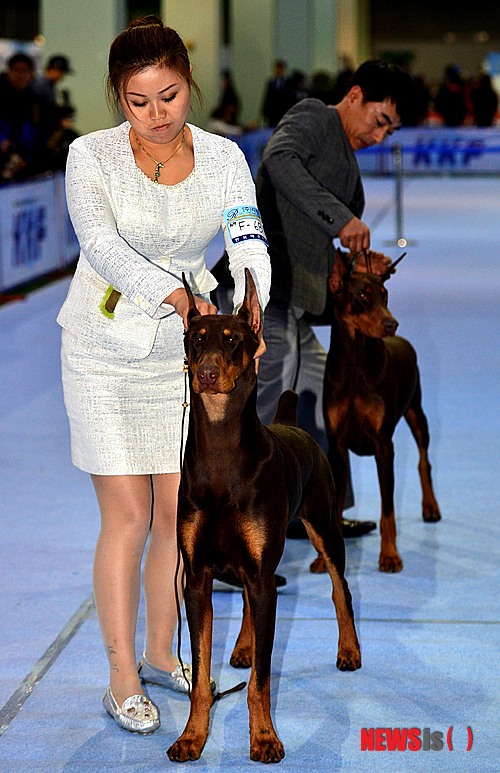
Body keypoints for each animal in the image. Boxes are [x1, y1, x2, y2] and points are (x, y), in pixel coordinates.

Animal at [167, 268, 360, 764]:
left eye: (233, 339)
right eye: (195, 338)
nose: (206, 373)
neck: (221, 456)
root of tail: (291, 422)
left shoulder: (257, 571)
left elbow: (262, 679)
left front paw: (265, 738)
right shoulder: (197, 578)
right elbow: (201, 675)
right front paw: (192, 738)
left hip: (323, 527)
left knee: (340, 589)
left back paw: (349, 650)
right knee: (255, 603)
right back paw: (242, 646)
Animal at [312, 250, 442, 576]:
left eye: (385, 295)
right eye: (362, 295)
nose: (391, 323)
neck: (356, 364)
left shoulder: (384, 447)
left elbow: (388, 512)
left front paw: (390, 556)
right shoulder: (337, 447)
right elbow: (333, 510)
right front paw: (323, 559)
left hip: (417, 412)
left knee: (424, 459)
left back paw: (431, 507)